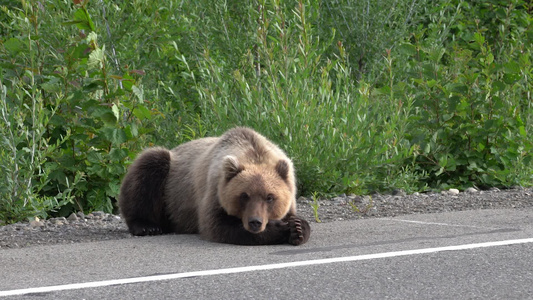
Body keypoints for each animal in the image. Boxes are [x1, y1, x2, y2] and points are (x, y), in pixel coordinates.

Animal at [116, 126, 308, 246]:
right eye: (244, 195)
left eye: (270, 197)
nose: (255, 222)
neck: (253, 153)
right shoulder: (214, 189)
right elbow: (217, 225)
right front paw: (280, 229)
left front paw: (297, 228)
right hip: (170, 184)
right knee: (149, 165)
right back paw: (147, 226)